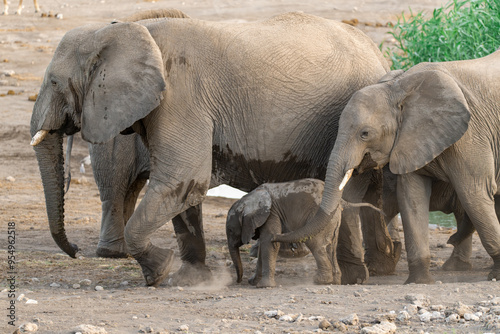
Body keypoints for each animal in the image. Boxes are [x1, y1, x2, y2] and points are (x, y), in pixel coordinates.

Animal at [30, 11, 390, 286]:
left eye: (54, 82)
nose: (75, 249)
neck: (123, 32)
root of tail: (379, 56)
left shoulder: (181, 96)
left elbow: (180, 176)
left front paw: (161, 270)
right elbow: (182, 188)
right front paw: (189, 278)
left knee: (351, 192)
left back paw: (357, 277)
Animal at [276, 51, 500, 284]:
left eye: (365, 134)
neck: (398, 87)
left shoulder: (470, 135)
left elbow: (474, 192)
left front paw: (496, 275)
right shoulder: (410, 139)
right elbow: (411, 198)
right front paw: (418, 282)